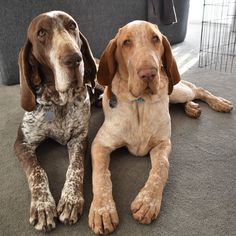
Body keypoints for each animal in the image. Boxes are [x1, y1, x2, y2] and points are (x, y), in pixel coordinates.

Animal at [13, 10, 96, 230]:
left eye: (72, 26)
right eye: (41, 33)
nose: (74, 59)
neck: (58, 102)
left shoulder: (79, 138)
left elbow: (75, 168)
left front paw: (71, 199)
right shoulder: (22, 143)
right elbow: (37, 171)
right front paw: (42, 205)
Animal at [88, 20, 234, 234]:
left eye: (155, 38)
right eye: (126, 42)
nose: (149, 73)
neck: (139, 103)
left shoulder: (163, 144)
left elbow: (161, 169)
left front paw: (148, 202)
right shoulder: (100, 144)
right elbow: (101, 175)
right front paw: (102, 210)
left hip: (177, 90)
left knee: (197, 89)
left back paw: (218, 103)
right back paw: (192, 108)